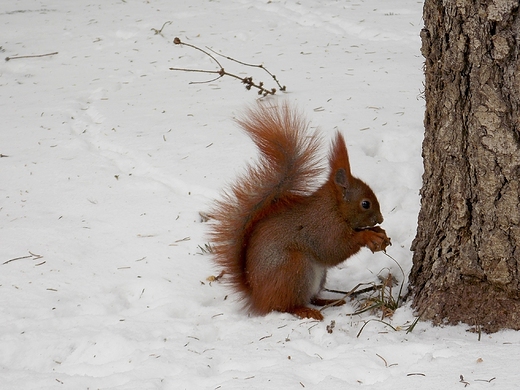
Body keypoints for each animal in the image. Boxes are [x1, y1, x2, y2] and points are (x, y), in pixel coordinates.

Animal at [208, 101, 390, 320]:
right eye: (365, 204)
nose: (381, 218)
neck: (334, 208)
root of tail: (257, 297)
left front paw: (379, 232)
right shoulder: (323, 228)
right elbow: (334, 249)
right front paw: (368, 236)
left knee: (309, 298)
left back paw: (328, 301)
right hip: (295, 269)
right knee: (285, 306)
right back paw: (306, 311)